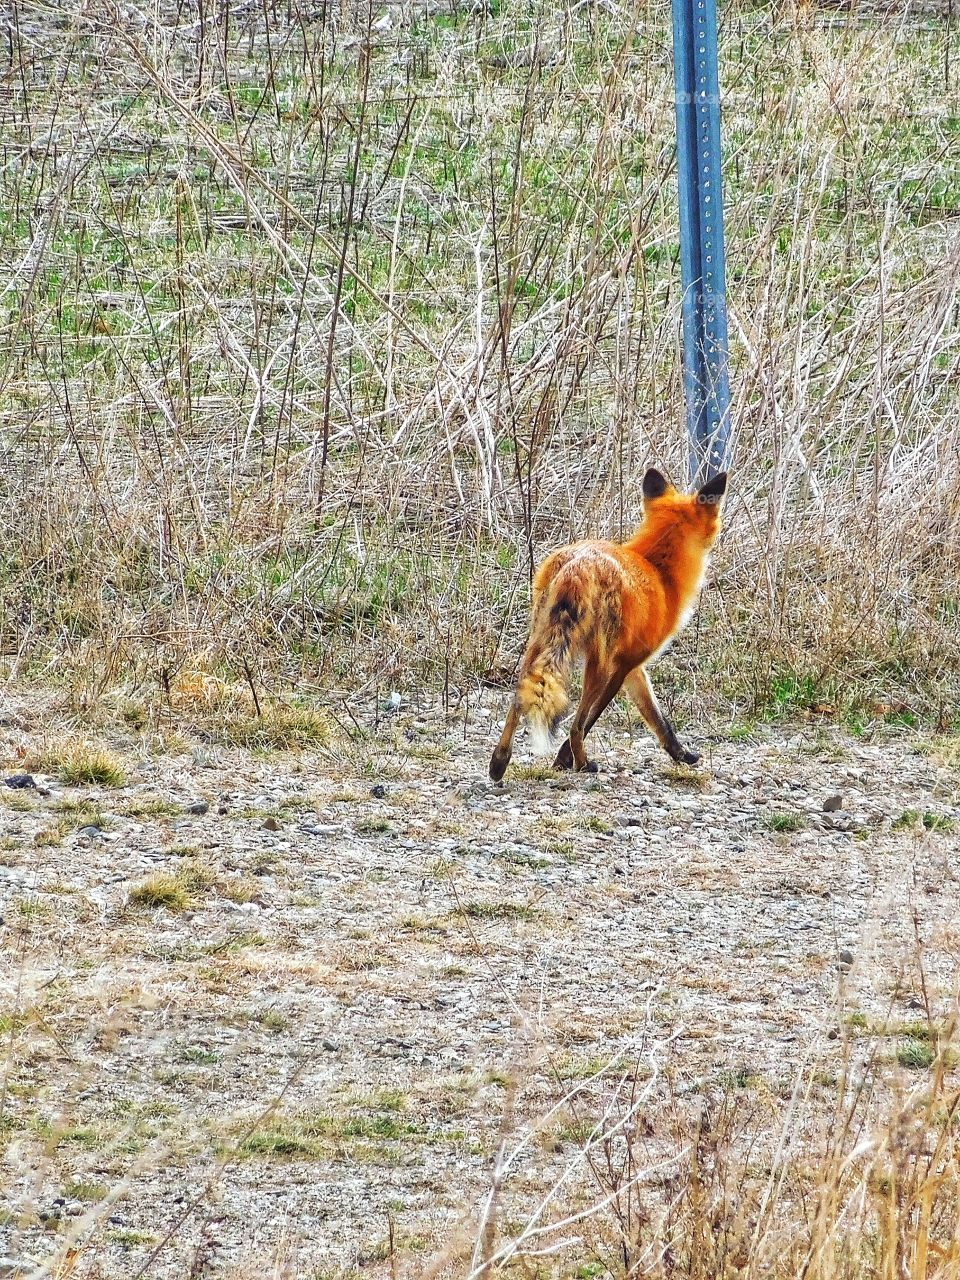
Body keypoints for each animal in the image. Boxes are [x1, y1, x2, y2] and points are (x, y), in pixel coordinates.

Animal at [489, 467, 727, 781]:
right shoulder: (624, 665)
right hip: (597, 664)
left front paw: (681, 754)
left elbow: (659, 719)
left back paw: (499, 762)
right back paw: (583, 763)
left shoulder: (635, 668)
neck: (659, 571)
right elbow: (593, 718)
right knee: (576, 723)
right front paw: (563, 759)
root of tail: (578, 563)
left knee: (518, 699)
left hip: (537, 643)